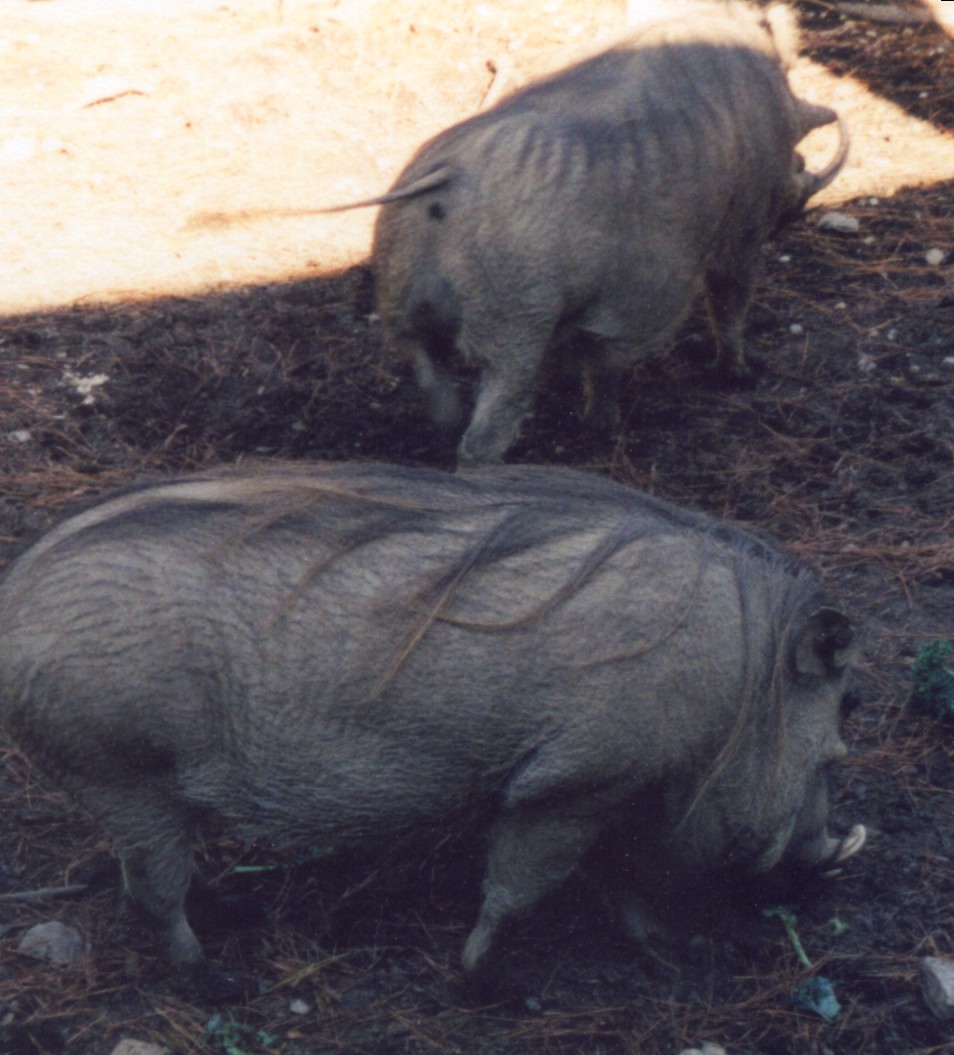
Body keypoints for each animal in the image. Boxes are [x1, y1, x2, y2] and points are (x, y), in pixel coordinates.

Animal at [0, 459, 865, 987]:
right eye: (836, 737)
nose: (832, 864)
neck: (746, 686)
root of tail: (11, 602)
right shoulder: (575, 784)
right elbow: (521, 886)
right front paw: (481, 978)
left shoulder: (616, 790)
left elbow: (622, 874)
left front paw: (661, 945)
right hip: (120, 773)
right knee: (154, 891)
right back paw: (214, 977)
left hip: (136, 789)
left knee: (145, 873)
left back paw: (229, 913)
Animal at [329, 1, 848, 462]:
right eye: (798, 154)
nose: (797, 208)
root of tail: (448, 175)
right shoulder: (740, 238)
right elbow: (730, 307)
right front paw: (738, 377)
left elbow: (602, 362)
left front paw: (603, 427)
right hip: (514, 330)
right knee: (483, 436)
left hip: (402, 308)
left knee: (437, 398)